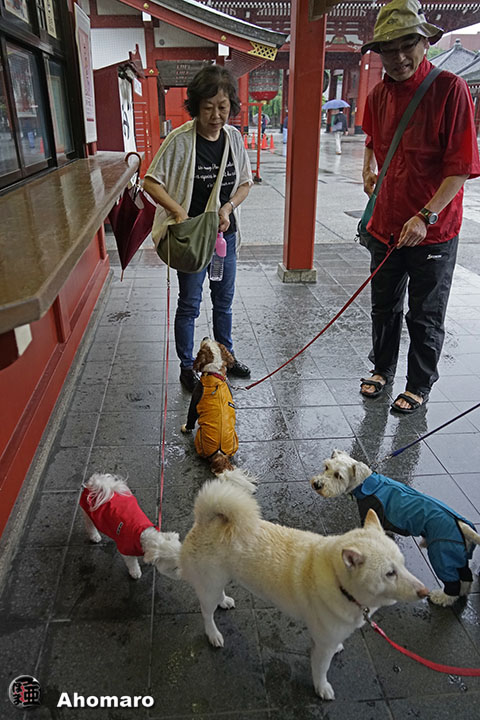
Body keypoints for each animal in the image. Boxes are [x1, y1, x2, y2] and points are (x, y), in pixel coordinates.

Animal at [174, 468, 428, 701]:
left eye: (403, 564)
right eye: (390, 573)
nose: (424, 591)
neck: (341, 584)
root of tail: (206, 520)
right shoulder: (322, 646)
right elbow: (321, 670)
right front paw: (322, 689)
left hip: (220, 578)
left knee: (218, 594)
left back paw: (224, 601)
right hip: (208, 584)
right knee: (207, 613)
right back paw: (213, 635)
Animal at [181, 338, 238, 475]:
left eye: (204, 345)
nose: (205, 337)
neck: (214, 374)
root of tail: (219, 454)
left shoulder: (195, 399)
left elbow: (191, 417)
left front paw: (186, 428)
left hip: (199, 440)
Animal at [311, 450, 480, 607]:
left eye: (338, 476)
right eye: (326, 467)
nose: (317, 484)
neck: (365, 483)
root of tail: (462, 525)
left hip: (442, 553)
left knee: (452, 580)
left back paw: (442, 597)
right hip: (458, 554)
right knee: (465, 577)